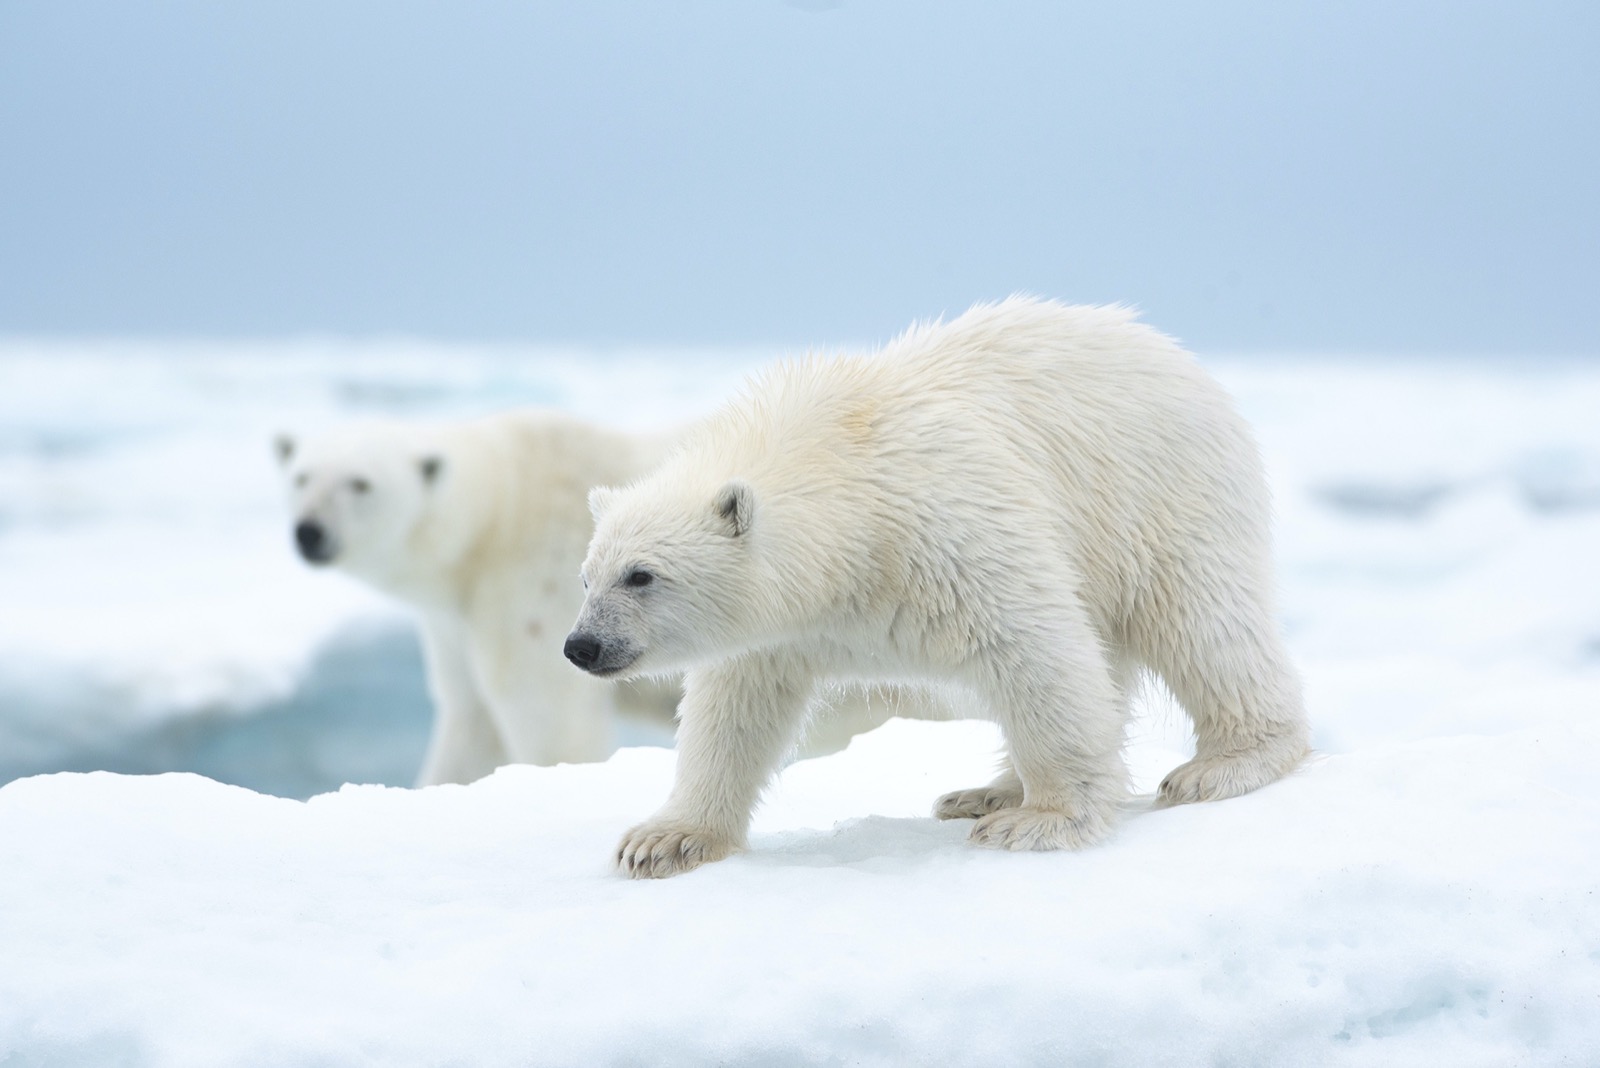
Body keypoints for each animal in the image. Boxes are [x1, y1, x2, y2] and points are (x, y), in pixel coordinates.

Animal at [567, 296, 1310, 878]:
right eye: (586, 574)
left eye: (642, 574)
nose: (582, 646)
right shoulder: (783, 628)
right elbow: (733, 710)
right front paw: (664, 840)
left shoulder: (949, 532)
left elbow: (1035, 651)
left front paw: (1041, 821)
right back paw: (985, 790)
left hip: (1160, 496)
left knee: (1200, 621)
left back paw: (1223, 764)